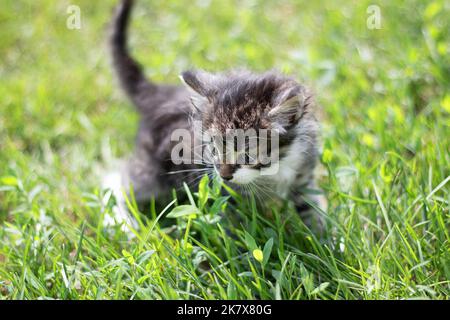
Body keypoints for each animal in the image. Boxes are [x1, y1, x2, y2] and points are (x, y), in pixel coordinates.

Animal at [109, 0, 326, 230]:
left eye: (247, 155)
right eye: (213, 149)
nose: (224, 175)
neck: (277, 166)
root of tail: (159, 94)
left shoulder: (303, 174)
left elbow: (310, 207)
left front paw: (322, 236)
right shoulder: (227, 195)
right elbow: (232, 225)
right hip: (151, 170)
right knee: (119, 182)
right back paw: (126, 224)